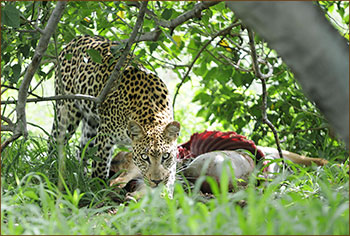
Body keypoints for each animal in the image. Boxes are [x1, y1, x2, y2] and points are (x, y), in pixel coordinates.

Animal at [50, 34, 180, 190]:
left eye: (166, 156)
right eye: (144, 157)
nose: (156, 181)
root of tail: (77, 38)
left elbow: (169, 176)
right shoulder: (104, 137)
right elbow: (100, 168)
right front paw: (98, 189)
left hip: (91, 124)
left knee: (82, 150)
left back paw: (80, 176)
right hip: (67, 112)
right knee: (54, 141)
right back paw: (52, 170)